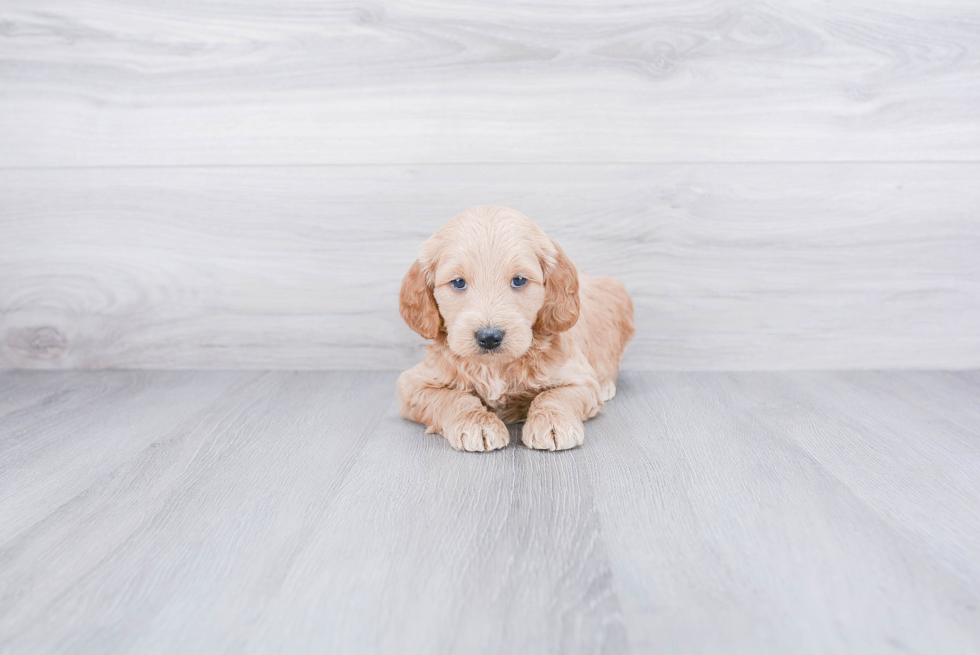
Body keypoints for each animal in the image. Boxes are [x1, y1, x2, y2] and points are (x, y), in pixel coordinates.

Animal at [398, 208, 636, 454]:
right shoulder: (412, 385)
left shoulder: (580, 379)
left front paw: (552, 424)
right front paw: (477, 424)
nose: (489, 337)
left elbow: (555, 394)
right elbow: (452, 398)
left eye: (519, 280)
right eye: (458, 282)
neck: (495, 367)